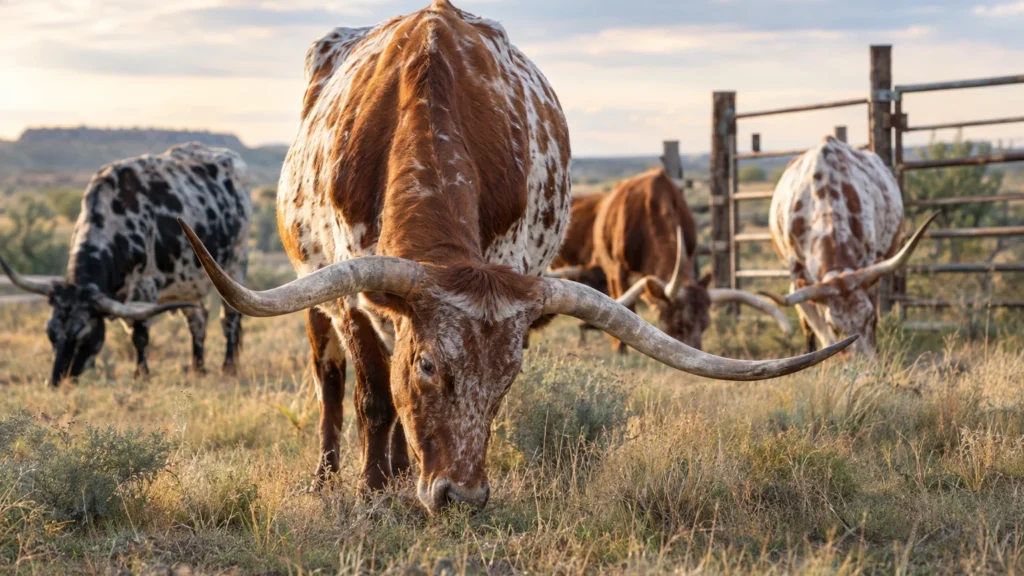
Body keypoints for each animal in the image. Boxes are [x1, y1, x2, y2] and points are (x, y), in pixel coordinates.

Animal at [0, 142, 251, 385]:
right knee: (197, 320)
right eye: (50, 332)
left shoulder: (145, 287)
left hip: (234, 266)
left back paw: (228, 367)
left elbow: (139, 334)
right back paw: (197, 368)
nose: (54, 381)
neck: (115, 220)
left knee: (229, 318)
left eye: (83, 335)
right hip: (188, 281)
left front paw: (141, 374)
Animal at [762, 136, 937, 357]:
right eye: (834, 327)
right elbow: (814, 327)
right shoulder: (797, 276)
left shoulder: (870, 266)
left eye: (870, 318)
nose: (863, 364)